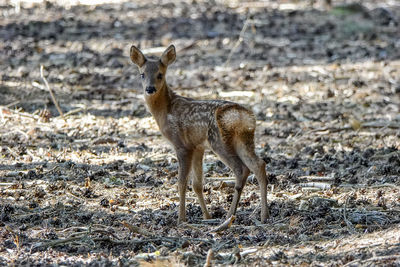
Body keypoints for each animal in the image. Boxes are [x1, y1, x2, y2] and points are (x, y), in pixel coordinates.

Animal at [131, 45, 268, 225]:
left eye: (160, 74)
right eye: (142, 74)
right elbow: (197, 184)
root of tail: (240, 116)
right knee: (259, 164)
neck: (165, 111)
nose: (150, 89)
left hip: (219, 141)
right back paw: (264, 215)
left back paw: (229, 215)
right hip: (244, 139)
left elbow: (181, 183)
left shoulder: (182, 145)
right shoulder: (197, 146)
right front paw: (206, 216)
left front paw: (181, 218)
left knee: (242, 169)